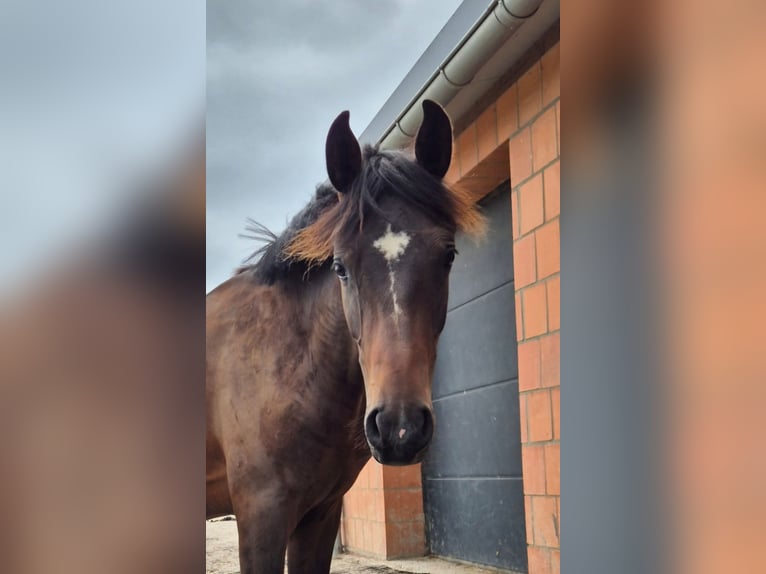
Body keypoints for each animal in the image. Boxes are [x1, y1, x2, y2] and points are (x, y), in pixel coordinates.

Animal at [206, 100, 484, 574]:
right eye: (340, 266)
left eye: (448, 255)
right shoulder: (261, 516)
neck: (286, 361)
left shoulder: (320, 514)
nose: (399, 428)